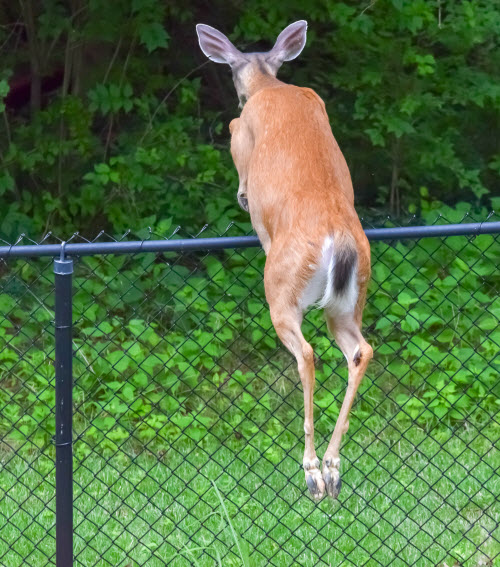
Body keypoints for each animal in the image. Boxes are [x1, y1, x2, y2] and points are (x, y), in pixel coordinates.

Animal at [195, 20, 372, 500]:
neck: (272, 85)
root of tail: (338, 238)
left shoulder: (240, 131)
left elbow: (235, 137)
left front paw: (241, 194)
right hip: (350, 300)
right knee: (360, 350)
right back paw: (332, 465)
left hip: (280, 288)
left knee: (306, 353)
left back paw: (312, 469)